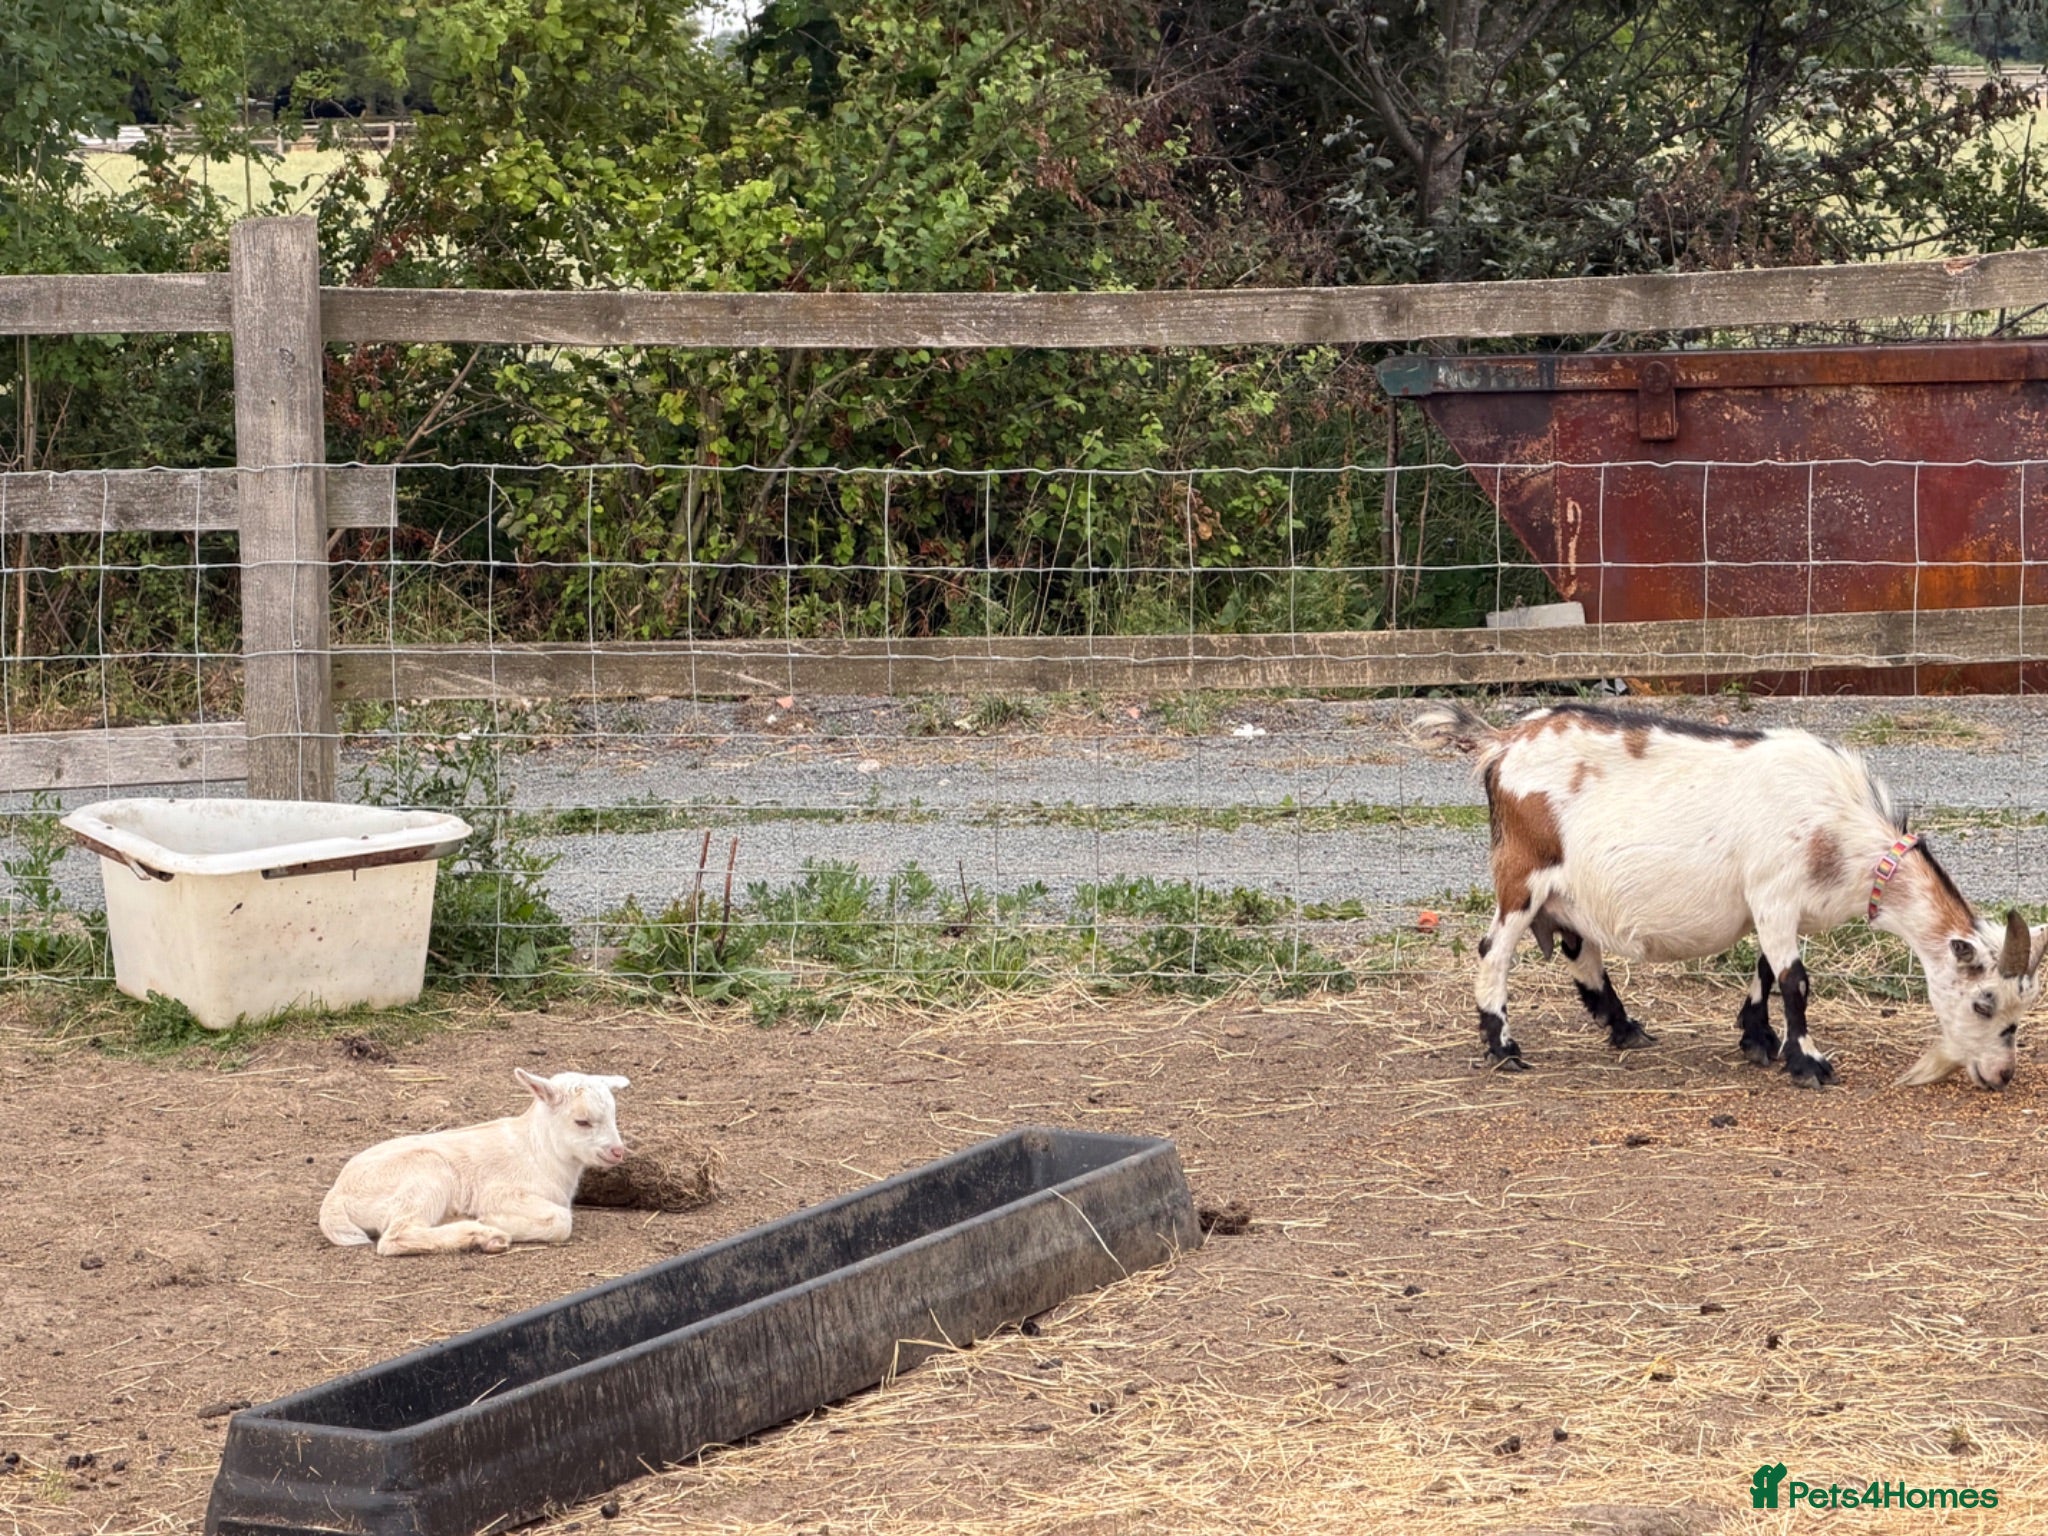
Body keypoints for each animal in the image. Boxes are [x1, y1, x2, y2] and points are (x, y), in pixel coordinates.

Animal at [320, 1069, 630, 1256]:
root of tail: (336, 1196)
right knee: (395, 1236)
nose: (617, 1151)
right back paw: (483, 1234)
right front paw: (491, 1219)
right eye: (582, 1121)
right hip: (426, 1174)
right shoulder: (500, 1192)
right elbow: (562, 1221)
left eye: (614, 1116)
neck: (537, 1152)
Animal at [1410, 701, 2046, 1089]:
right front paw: (1808, 1062)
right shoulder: (1774, 894)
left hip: (1568, 891)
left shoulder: (1771, 905)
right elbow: (1796, 981)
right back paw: (1504, 1048)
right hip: (1523, 875)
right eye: (1984, 1003)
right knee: (1494, 952)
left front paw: (1758, 1038)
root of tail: (1502, 742)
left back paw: (1625, 1028)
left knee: (1581, 952)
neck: (1837, 827)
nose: (2002, 1075)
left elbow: (1765, 970)